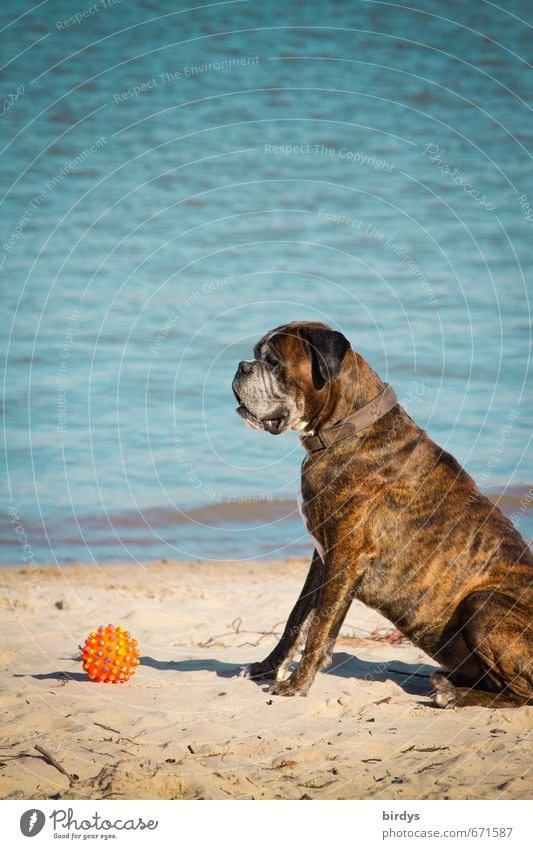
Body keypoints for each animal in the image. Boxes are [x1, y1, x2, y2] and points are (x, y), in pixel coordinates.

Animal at [232, 322, 532, 704]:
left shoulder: (346, 557)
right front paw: (265, 668)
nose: (242, 366)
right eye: (256, 355)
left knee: (520, 693)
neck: (348, 428)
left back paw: (453, 695)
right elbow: (297, 619)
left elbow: (319, 627)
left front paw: (296, 684)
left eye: (272, 361)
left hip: (483, 605)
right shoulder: (323, 558)